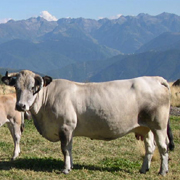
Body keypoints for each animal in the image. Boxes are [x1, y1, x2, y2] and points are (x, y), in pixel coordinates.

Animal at [2, 70, 172, 176]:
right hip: (146, 127)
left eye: (33, 87)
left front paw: (65, 169)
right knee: (150, 147)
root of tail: (155, 79)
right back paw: (144, 169)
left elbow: (65, 149)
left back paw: (163, 171)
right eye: (16, 87)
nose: (21, 106)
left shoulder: (66, 127)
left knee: (163, 147)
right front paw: (70, 166)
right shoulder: (69, 130)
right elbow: (69, 149)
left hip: (159, 125)